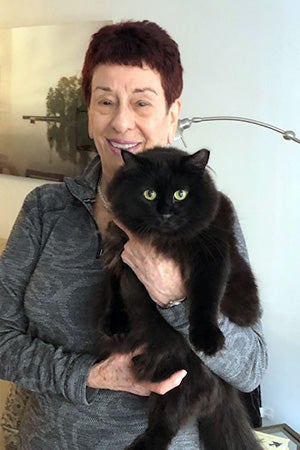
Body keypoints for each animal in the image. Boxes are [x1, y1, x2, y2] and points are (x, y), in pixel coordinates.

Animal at [98, 147, 262, 450]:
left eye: (181, 194)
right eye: (149, 194)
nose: (165, 213)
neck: (165, 240)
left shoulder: (211, 256)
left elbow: (205, 299)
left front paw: (207, 338)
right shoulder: (117, 251)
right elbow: (113, 289)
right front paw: (114, 323)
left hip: (184, 377)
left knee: (166, 425)